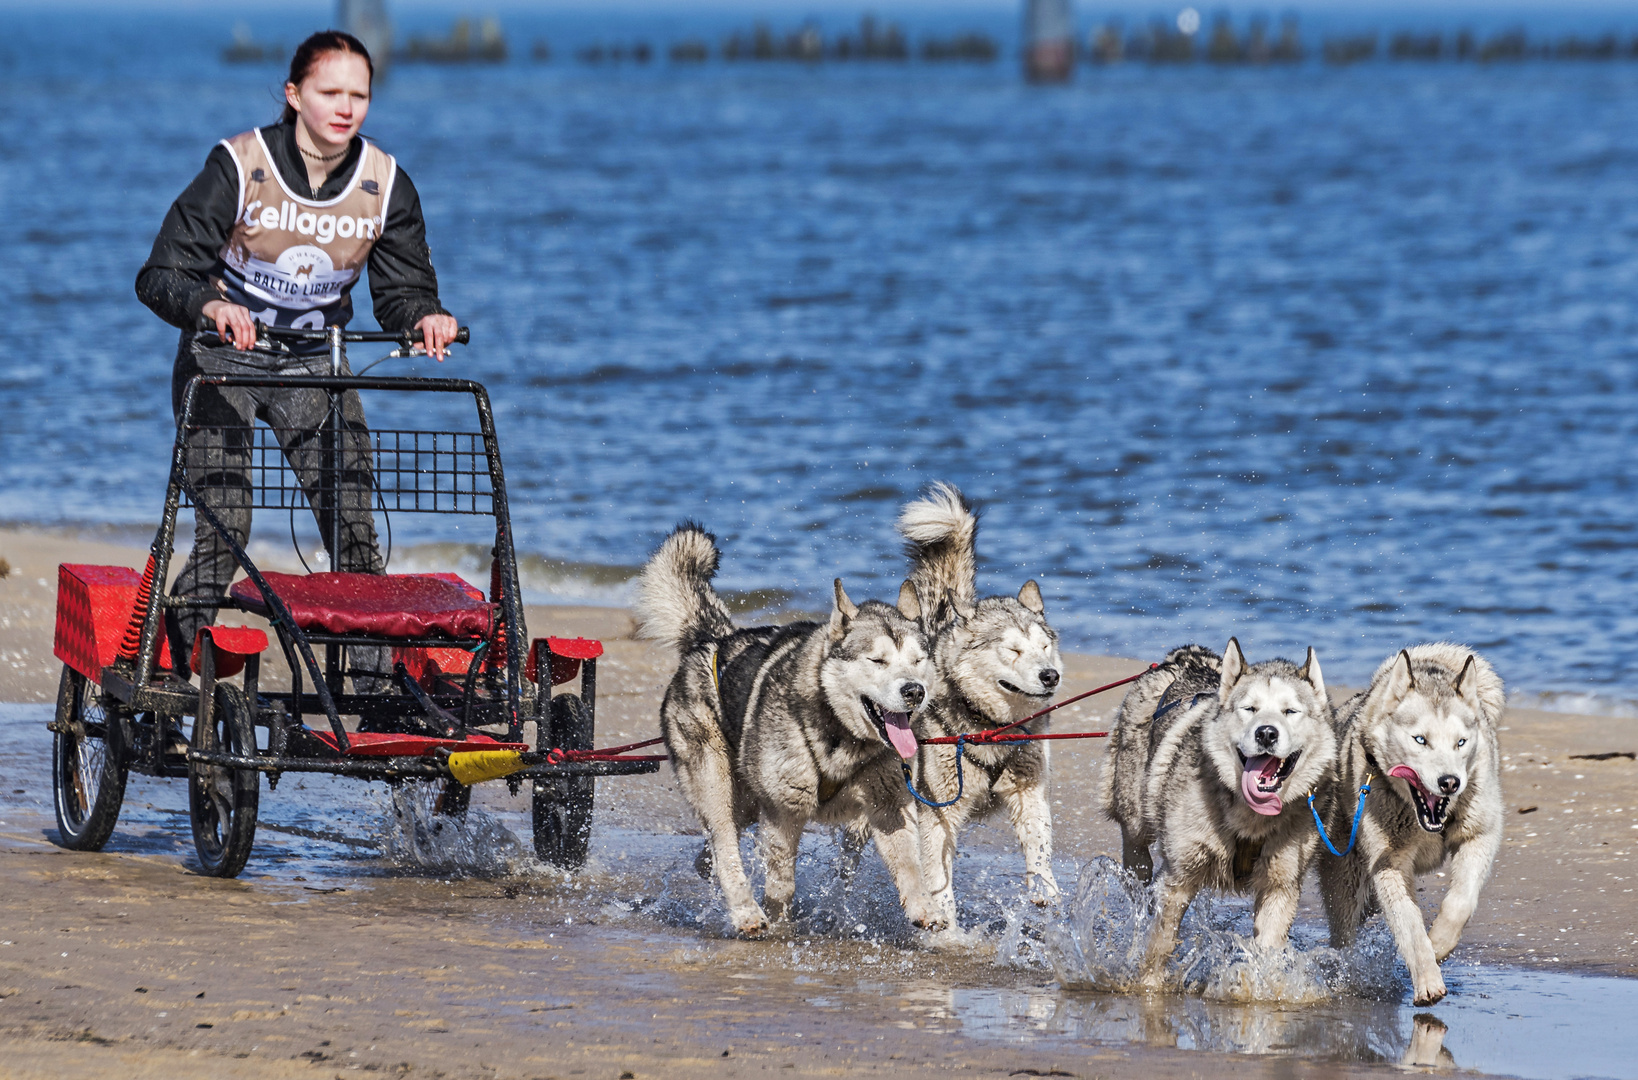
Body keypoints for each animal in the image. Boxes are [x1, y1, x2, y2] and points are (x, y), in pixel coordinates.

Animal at [638, 524, 950, 937]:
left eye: (918, 661)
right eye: (877, 660)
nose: (915, 691)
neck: (840, 736)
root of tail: (713, 640)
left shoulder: (888, 804)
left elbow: (909, 864)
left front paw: (923, 907)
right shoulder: (783, 811)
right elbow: (781, 882)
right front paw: (779, 921)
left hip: (746, 801)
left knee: (713, 848)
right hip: (716, 781)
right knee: (724, 840)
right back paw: (745, 911)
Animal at [897, 485, 1061, 924]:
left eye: (1044, 647)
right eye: (1013, 650)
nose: (1050, 676)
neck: (990, 727)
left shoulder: (1028, 790)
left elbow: (1039, 846)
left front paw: (1046, 890)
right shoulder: (937, 813)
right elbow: (937, 879)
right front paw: (947, 925)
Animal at [1100, 642, 1330, 989]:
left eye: (1290, 711)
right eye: (1249, 709)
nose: (1266, 733)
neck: (1249, 817)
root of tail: (1184, 656)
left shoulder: (1281, 885)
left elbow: (1266, 949)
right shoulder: (1179, 878)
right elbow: (1160, 943)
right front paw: (1149, 985)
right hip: (1136, 817)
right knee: (1138, 859)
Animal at [1323, 642, 1500, 1002]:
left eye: (1461, 742)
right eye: (1421, 740)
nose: (1450, 782)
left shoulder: (1480, 835)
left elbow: (1460, 902)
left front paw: (1440, 943)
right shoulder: (1389, 864)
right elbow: (1410, 928)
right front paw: (1427, 979)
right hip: (1346, 873)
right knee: (1344, 928)